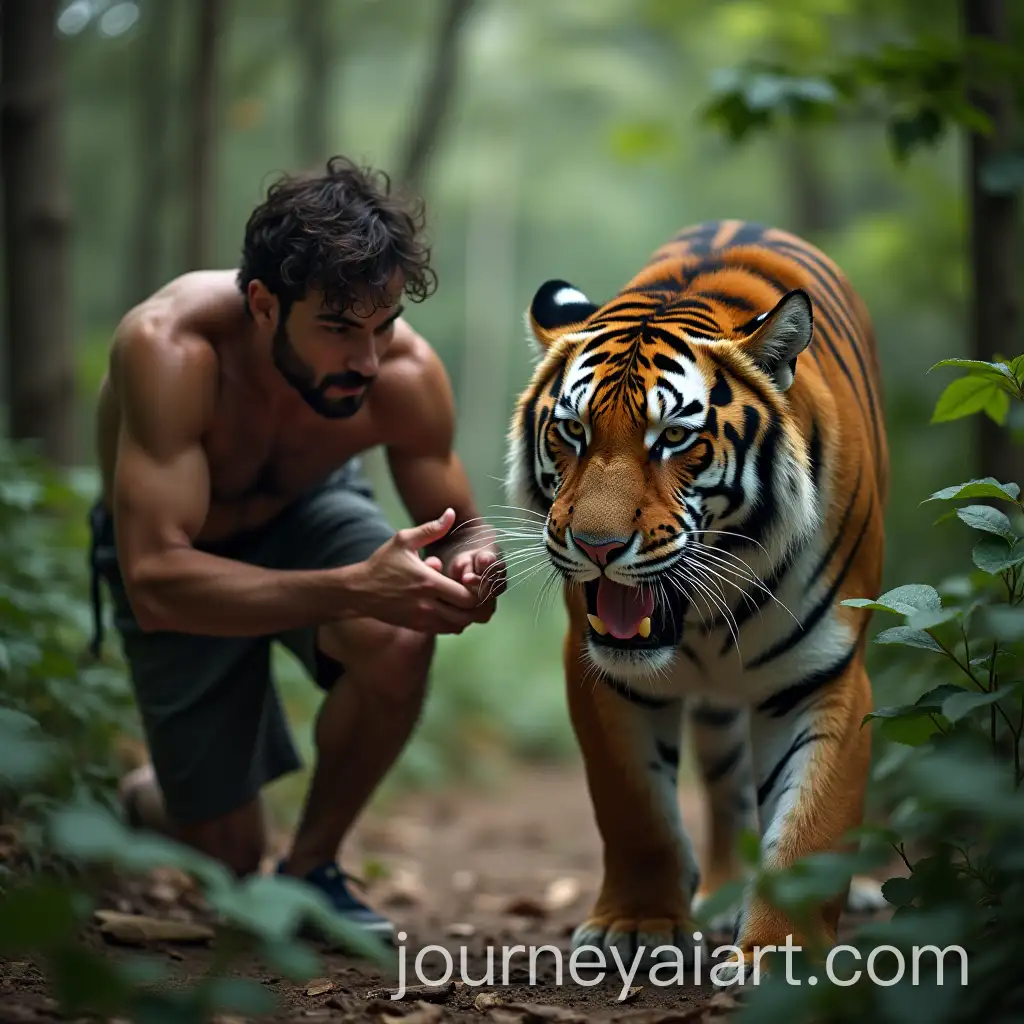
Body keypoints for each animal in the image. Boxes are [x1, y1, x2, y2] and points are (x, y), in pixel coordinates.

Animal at [503, 219, 889, 980]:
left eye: (674, 438)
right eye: (572, 431)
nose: (596, 545)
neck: (705, 620)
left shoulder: (825, 676)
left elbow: (813, 825)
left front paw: (781, 958)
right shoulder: (603, 674)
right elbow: (636, 809)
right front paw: (638, 925)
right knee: (725, 784)